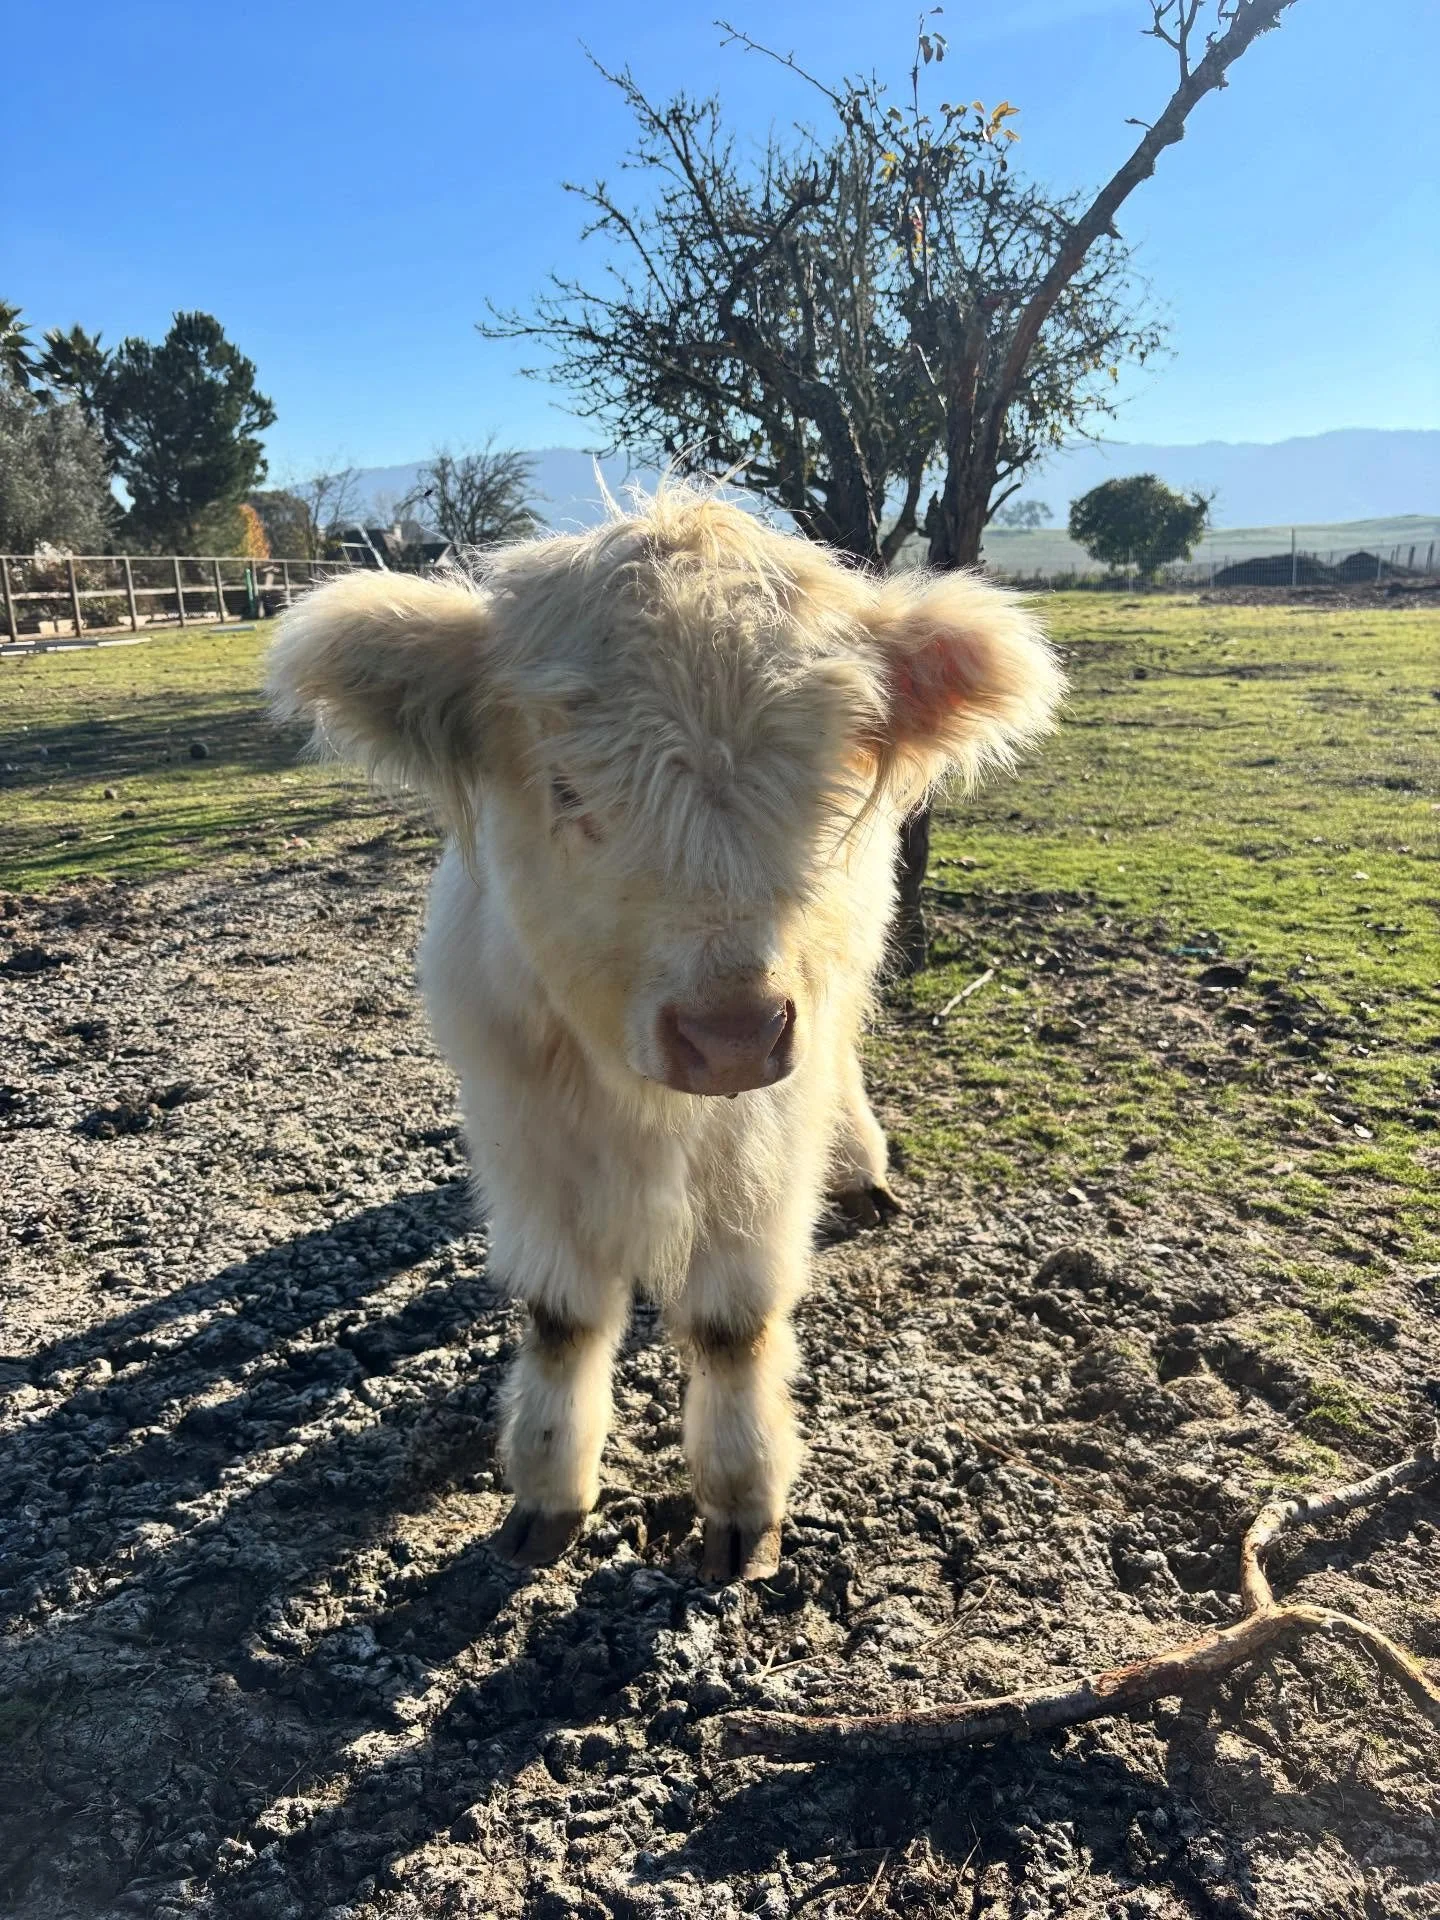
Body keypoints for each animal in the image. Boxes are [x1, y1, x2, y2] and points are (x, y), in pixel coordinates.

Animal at [268, 488, 1062, 1582]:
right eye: (566, 789)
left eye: (827, 787)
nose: (730, 1035)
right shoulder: (521, 1117)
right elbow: (561, 1316)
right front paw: (547, 1488)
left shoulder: (762, 1125)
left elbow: (733, 1323)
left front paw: (741, 1498)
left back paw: (860, 1166)